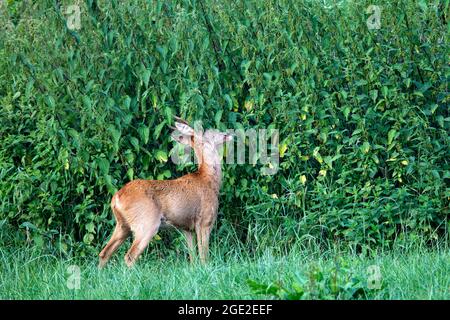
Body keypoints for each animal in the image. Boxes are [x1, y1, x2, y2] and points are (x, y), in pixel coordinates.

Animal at [98, 117, 232, 268]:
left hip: (122, 225)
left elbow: (193, 258)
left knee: (104, 253)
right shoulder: (205, 221)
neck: (209, 179)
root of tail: (116, 197)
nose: (227, 133)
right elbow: (204, 257)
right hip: (146, 223)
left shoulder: (187, 228)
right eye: (210, 132)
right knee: (129, 256)